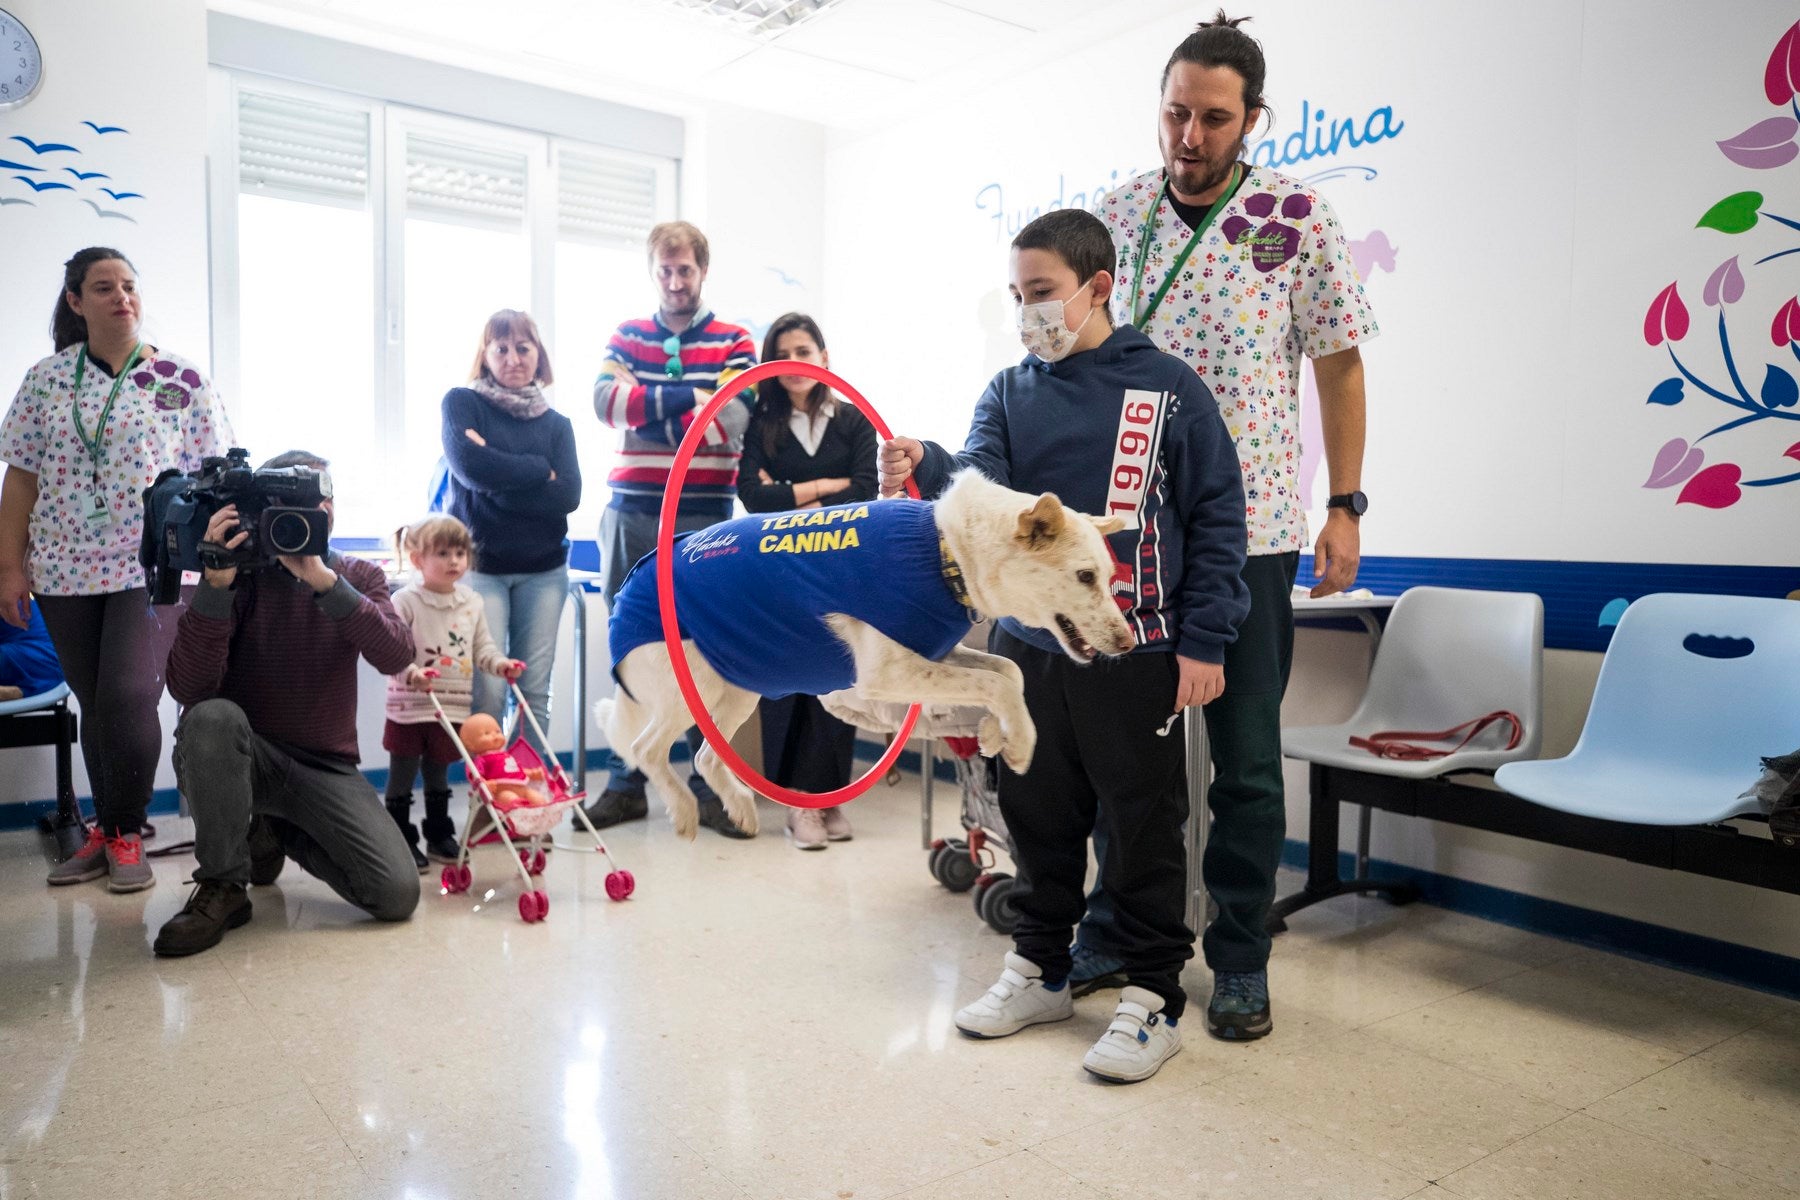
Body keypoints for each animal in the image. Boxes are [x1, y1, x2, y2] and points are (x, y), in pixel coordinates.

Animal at [604, 467, 1137, 834]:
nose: (1129, 643)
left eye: (1110, 577)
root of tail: (626, 588)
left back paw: (739, 807)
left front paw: (993, 734)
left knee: (705, 759)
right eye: (1085, 576)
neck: (943, 553)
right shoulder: (889, 671)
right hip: (690, 687)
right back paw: (684, 811)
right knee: (645, 749)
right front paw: (1020, 744)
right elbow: (995, 683)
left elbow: (1007, 673)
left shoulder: (935, 655)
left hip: (739, 686)